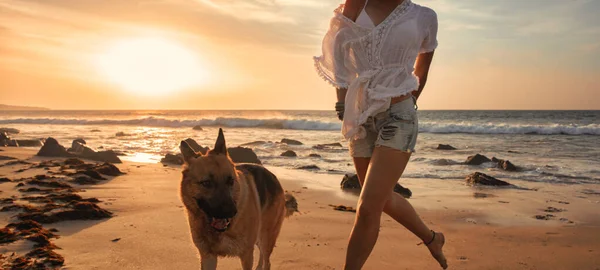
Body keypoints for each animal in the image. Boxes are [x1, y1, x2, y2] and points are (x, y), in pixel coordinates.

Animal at [180, 129, 298, 270]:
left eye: (230, 181)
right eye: (206, 183)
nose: (231, 212)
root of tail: (275, 179)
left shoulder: (246, 255)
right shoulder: (208, 257)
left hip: (265, 238)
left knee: (267, 261)